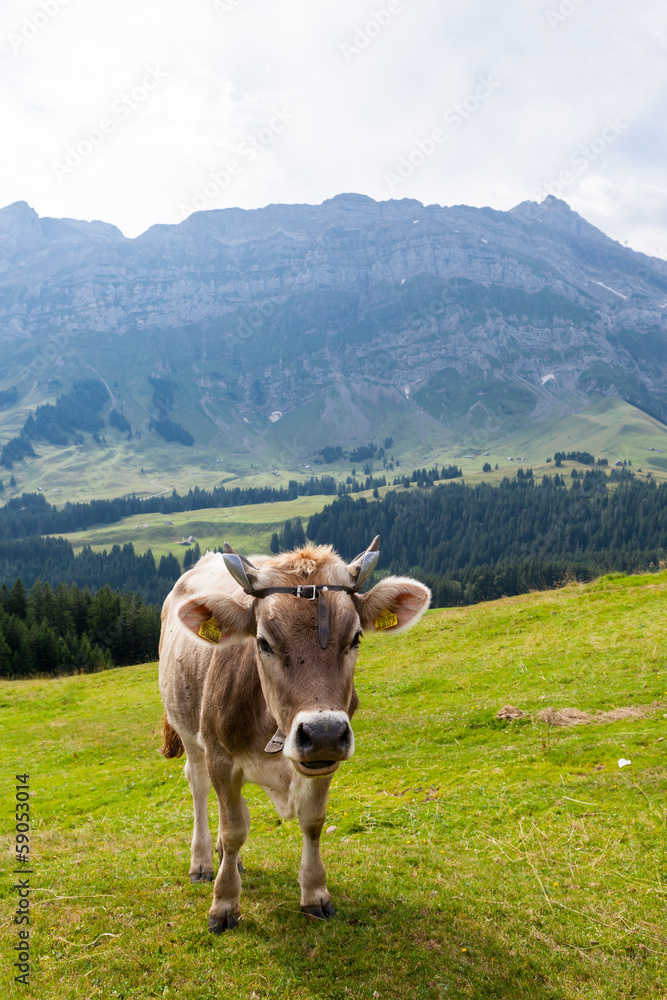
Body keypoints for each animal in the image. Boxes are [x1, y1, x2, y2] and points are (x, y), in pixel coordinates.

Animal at [159, 536, 430, 932]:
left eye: (356, 637)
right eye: (263, 641)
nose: (323, 732)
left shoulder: (324, 761)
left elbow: (313, 822)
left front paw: (315, 893)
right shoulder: (221, 757)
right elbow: (234, 828)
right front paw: (224, 903)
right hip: (189, 731)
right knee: (199, 786)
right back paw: (204, 862)